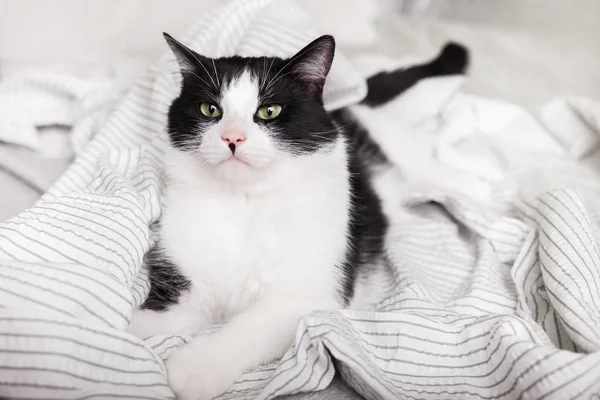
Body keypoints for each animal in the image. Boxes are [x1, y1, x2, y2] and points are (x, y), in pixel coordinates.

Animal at [129, 32, 468, 400]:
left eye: (269, 111)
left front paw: (196, 366)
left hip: (412, 159)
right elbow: (170, 311)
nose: (232, 137)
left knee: (453, 170)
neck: (245, 202)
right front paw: (130, 329)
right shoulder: (188, 269)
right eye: (210, 109)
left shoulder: (307, 295)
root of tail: (350, 109)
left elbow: (249, 327)